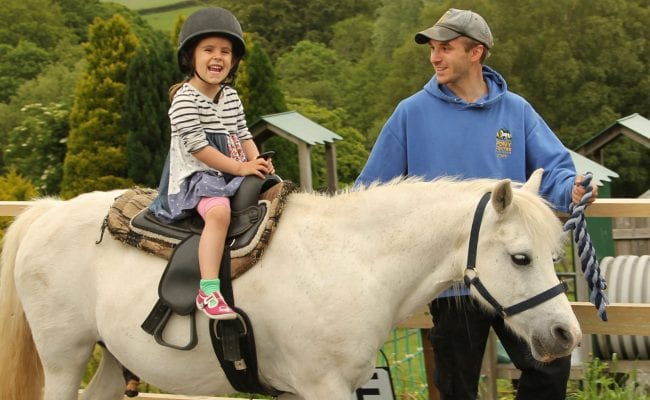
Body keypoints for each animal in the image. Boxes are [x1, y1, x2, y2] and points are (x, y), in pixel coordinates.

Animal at [0, 170, 576, 400]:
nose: (566, 335)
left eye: (554, 256)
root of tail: (44, 213)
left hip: (115, 358)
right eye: (521, 258)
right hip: (65, 359)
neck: (352, 261)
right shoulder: (324, 387)